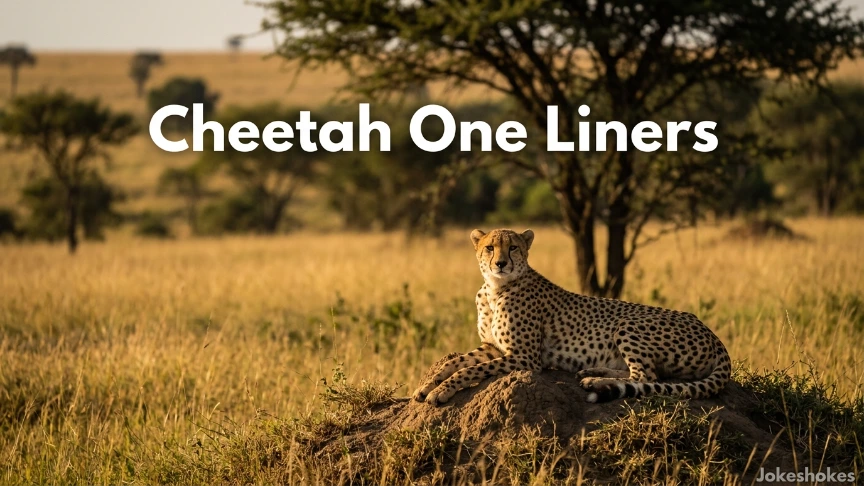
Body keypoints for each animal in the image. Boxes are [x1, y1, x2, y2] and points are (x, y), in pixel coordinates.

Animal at [412, 228, 731, 405]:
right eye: (489, 247)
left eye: (513, 247)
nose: (500, 263)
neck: (495, 288)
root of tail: (712, 334)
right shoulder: (493, 347)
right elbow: (454, 362)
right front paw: (425, 387)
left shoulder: (525, 358)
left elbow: (468, 371)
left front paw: (441, 392)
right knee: (641, 374)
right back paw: (591, 372)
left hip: (629, 323)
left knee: (647, 377)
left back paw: (595, 382)